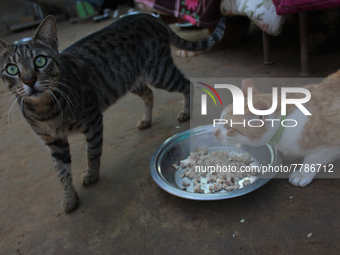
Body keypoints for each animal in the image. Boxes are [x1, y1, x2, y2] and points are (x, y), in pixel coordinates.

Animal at [1, 14, 227, 213]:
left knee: (186, 83)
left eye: (40, 61)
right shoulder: (53, 141)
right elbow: (61, 172)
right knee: (149, 93)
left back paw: (186, 111)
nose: (29, 81)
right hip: (131, 79)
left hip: (159, 72)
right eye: (11, 69)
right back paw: (146, 119)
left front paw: (92, 175)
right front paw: (69, 197)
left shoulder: (93, 120)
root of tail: (148, 15)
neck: (45, 109)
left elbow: (92, 153)